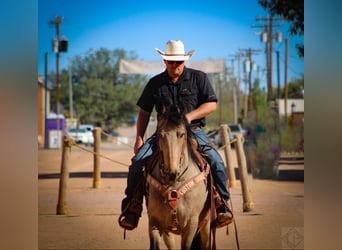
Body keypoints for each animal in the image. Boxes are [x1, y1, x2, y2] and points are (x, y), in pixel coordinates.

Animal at [144, 104, 211, 249]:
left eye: (181, 134)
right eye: (160, 134)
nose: (171, 172)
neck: (174, 184)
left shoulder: (191, 224)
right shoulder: (154, 222)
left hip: (206, 223)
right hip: (168, 229)